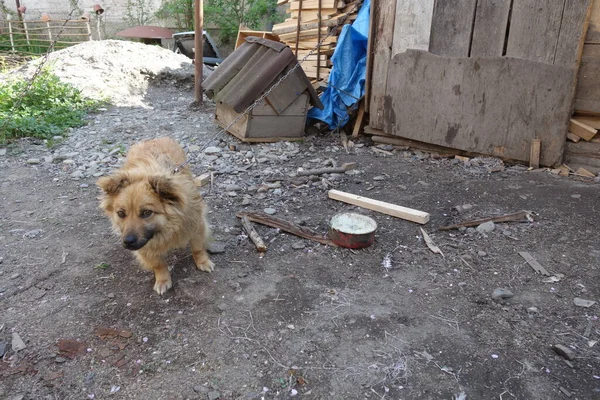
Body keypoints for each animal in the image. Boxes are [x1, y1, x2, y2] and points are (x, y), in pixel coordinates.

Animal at [96, 138, 213, 294]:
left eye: (146, 213)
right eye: (121, 213)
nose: (127, 242)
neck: (167, 229)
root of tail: (154, 138)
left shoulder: (196, 224)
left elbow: (197, 248)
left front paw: (203, 262)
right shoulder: (145, 246)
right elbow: (158, 264)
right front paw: (163, 280)